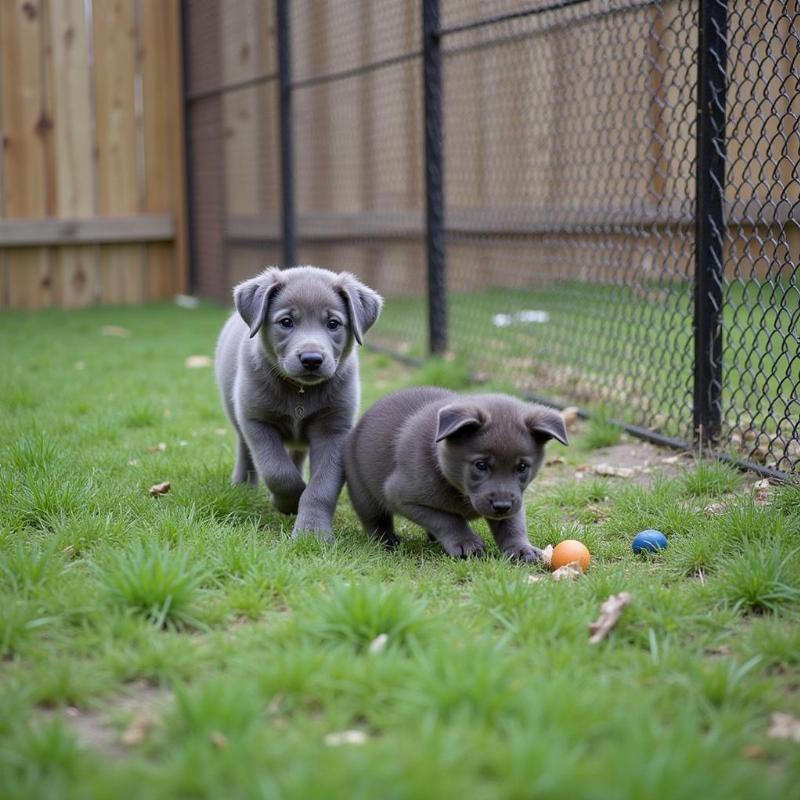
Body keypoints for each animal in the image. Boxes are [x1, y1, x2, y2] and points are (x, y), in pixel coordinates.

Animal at [216, 268, 384, 536]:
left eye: (333, 323)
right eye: (286, 322)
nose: (312, 359)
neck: (300, 392)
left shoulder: (335, 430)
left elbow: (322, 487)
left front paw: (312, 531)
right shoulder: (257, 421)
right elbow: (277, 471)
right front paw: (288, 502)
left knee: (296, 454)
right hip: (237, 413)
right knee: (246, 450)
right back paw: (242, 486)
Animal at [346, 388, 568, 564]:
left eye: (522, 467)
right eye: (481, 465)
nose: (502, 506)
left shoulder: (515, 501)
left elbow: (512, 525)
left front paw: (521, 549)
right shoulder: (402, 497)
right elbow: (447, 519)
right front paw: (466, 543)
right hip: (363, 493)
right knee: (375, 521)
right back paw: (386, 540)